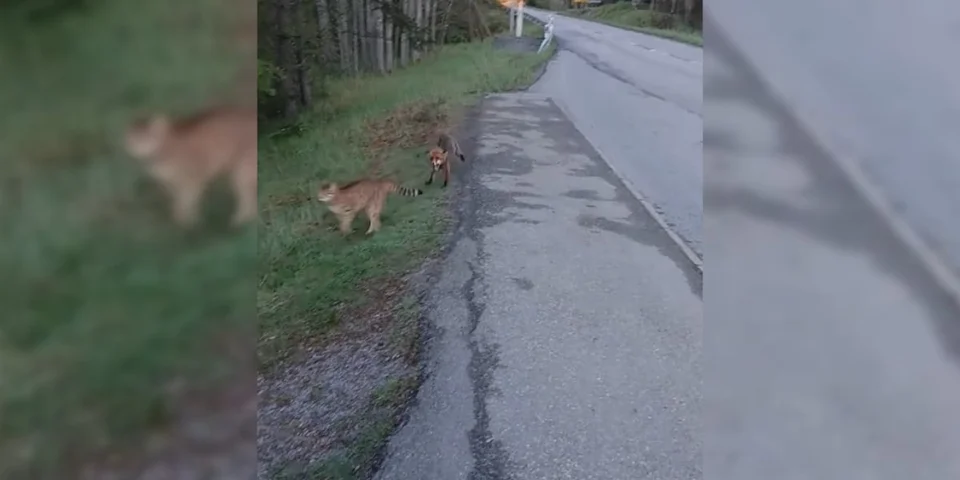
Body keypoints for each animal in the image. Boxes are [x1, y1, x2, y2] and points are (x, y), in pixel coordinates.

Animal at [124, 106, 257, 227]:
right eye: (134, 140)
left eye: (149, 138)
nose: (140, 148)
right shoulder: (170, 184)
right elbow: (179, 204)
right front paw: (184, 220)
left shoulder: (192, 181)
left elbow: (186, 203)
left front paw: (187, 225)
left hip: (241, 174)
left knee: (247, 199)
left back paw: (241, 221)